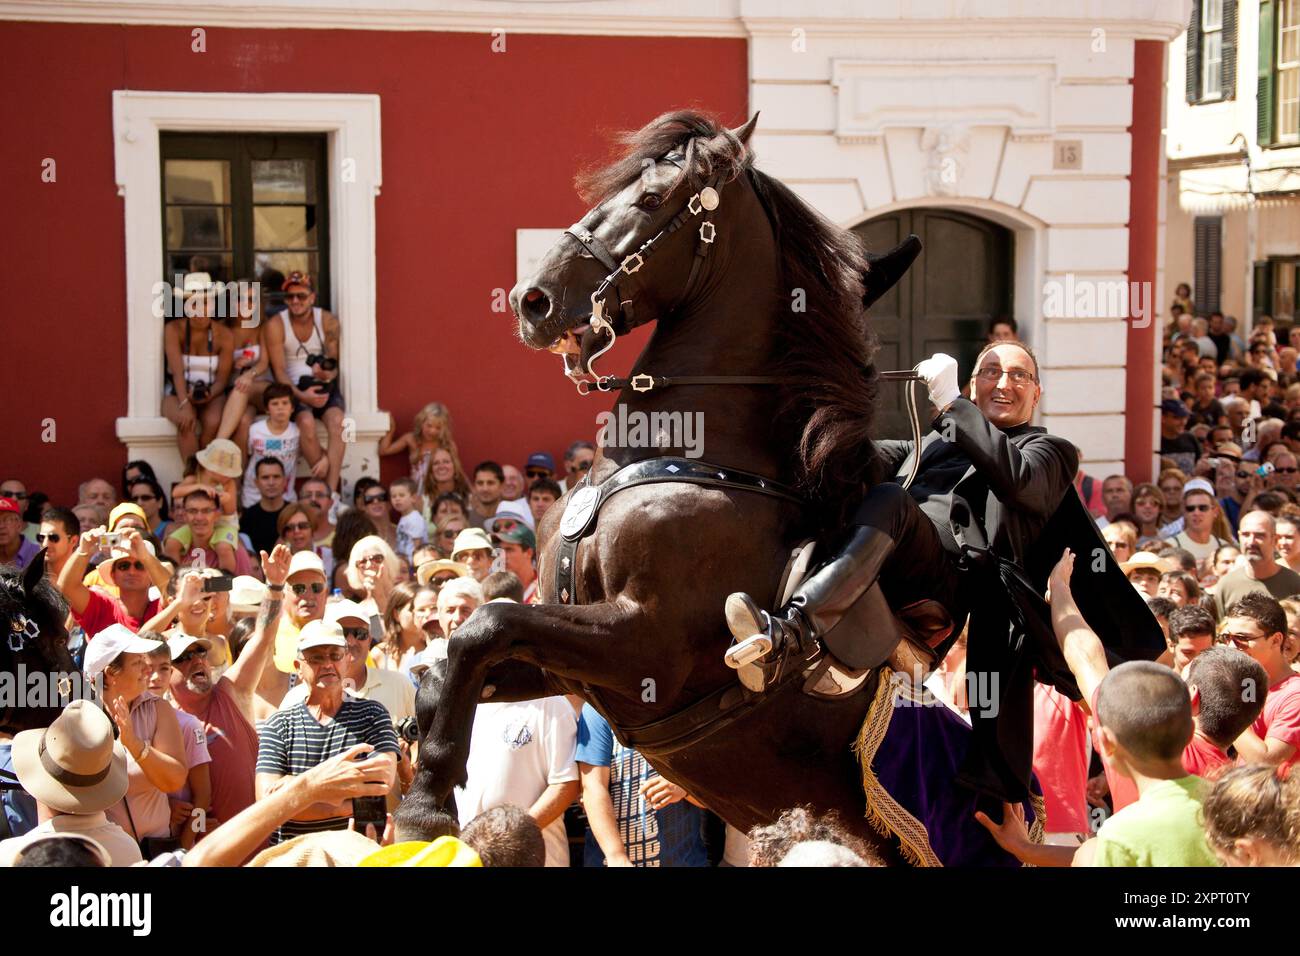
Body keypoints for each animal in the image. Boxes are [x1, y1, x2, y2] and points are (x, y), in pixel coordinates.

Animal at [410, 110, 930, 858]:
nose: (533, 300)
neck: (683, 456)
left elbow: (486, 622)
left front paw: (424, 805)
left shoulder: (644, 647)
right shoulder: (567, 667)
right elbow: (455, 656)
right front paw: (425, 770)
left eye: (652, 199)